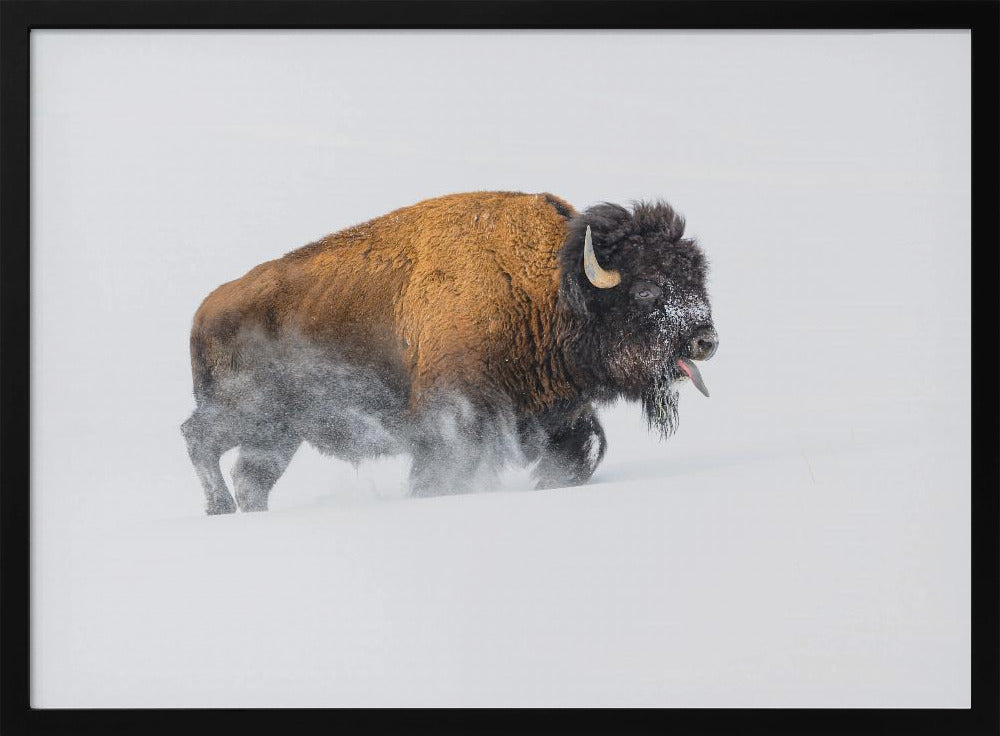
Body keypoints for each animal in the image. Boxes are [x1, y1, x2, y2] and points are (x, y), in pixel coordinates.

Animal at [181, 191, 718, 513]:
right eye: (646, 289)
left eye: (696, 280)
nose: (706, 340)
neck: (550, 289)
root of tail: (205, 310)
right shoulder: (453, 422)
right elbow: (441, 474)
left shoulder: (559, 416)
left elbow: (577, 455)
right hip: (246, 414)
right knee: (198, 438)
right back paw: (219, 508)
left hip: (278, 434)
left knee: (250, 476)